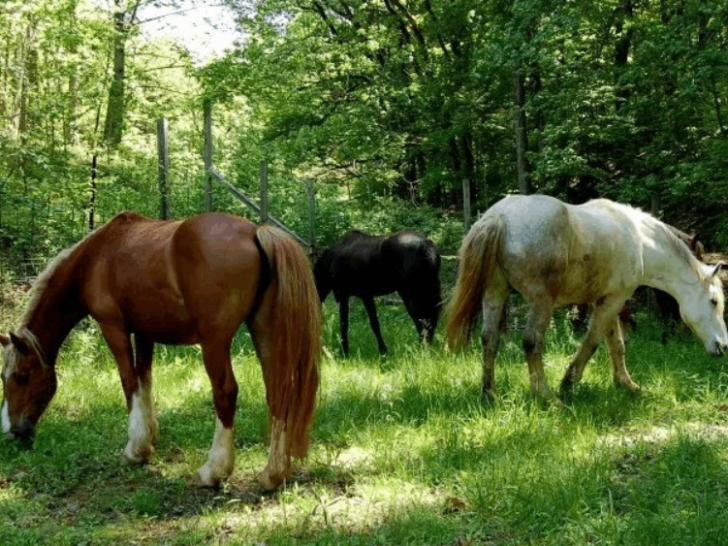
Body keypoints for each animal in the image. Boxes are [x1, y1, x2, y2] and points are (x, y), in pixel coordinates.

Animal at [1, 212, 321, 490]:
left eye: (19, 376)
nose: (11, 430)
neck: (94, 259)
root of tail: (255, 232)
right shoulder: (144, 332)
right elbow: (145, 380)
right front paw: (148, 439)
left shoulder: (113, 327)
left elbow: (128, 382)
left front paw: (135, 449)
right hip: (264, 330)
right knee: (278, 392)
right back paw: (273, 474)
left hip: (215, 342)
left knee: (225, 393)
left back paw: (213, 471)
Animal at [446, 194, 727, 402]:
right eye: (714, 302)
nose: (722, 346)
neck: (638, 238)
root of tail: (499, 217)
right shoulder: (612, 302)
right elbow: (592, 342)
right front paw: (568, 384)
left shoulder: (607, 301)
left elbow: (617, 345)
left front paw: (626, 384)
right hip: (541, 303)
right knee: (531, 343)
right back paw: (549, 398)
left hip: (495, 294)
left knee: (489, 339)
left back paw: (489, 395)